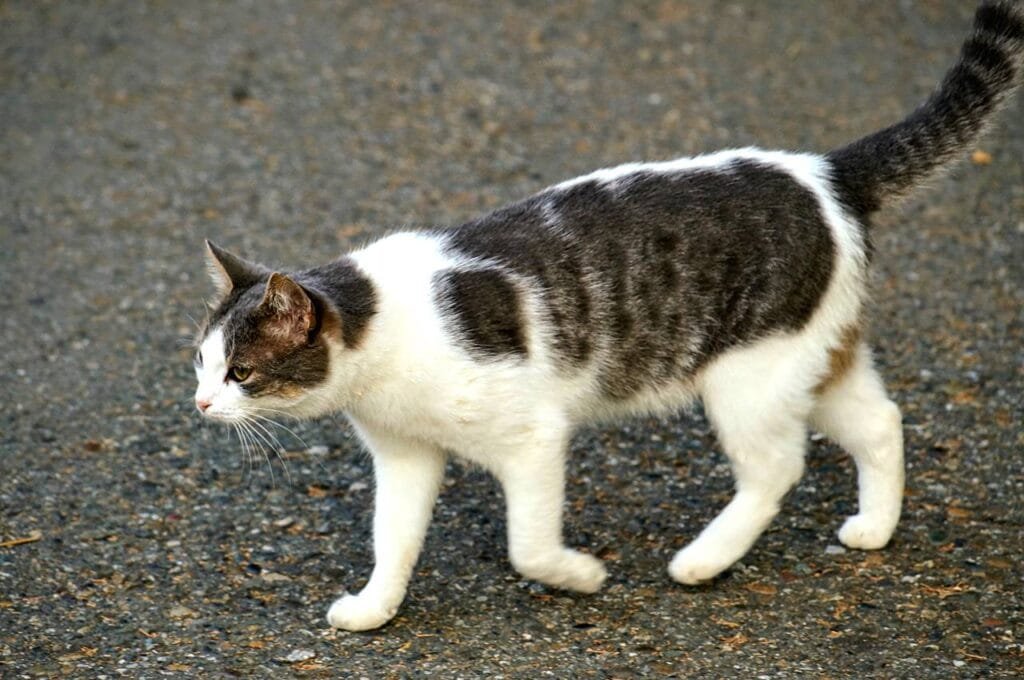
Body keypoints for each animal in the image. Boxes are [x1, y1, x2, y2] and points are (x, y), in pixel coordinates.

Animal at [192, 1, 1024, 630]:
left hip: (747, 378)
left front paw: (578, 576)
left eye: (243, 372)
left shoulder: (532, 437)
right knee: (880, 422)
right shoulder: (406, 456)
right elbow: (392, 539)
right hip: (812, 355)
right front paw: (375, 607)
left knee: (777, 466)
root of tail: (824, 171)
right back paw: (874, 528)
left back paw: (703, 559)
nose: (199, 405)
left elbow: (526, 545)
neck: (382, 337)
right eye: (199, 363)